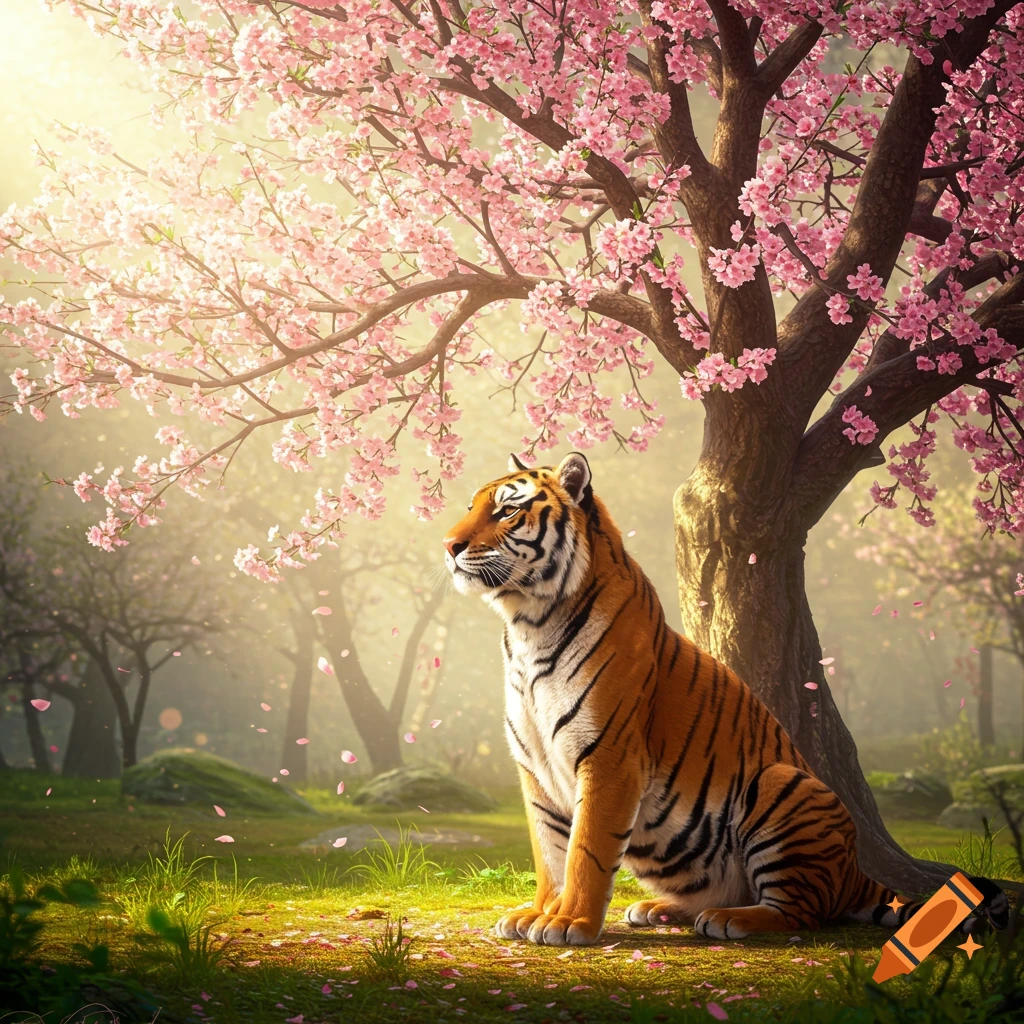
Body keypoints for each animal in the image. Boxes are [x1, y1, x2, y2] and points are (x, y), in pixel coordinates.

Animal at [442, 451, 1009, 946]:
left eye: (508, 510)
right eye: (472, 506)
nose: (448, 545)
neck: (527, 624)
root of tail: (857, 872)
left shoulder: (608, 758)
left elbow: (585, 850)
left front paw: (569, 923)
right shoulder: (535, 767)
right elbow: (550, 851)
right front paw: (538, 913)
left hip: (784, 785)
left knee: (800, 911)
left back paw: (729, 919)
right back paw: (659, 909)